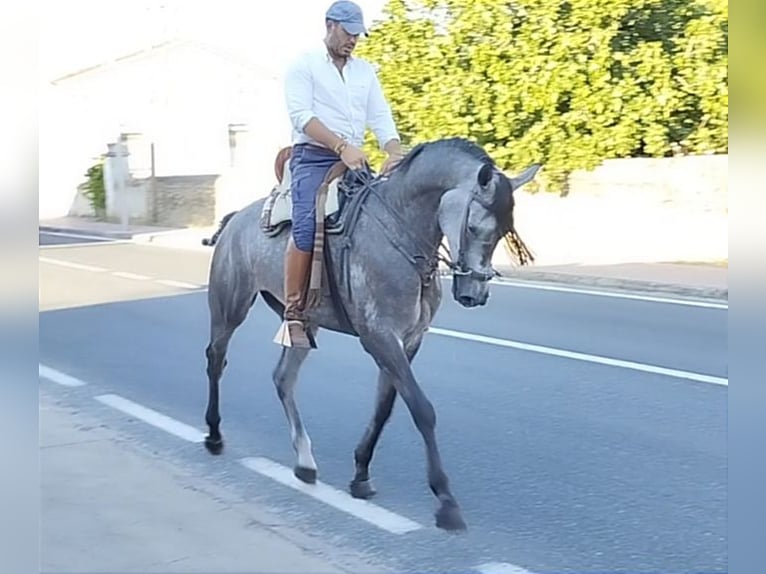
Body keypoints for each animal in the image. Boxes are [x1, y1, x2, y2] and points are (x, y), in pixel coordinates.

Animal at [201, 137, 544, 532]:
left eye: (504, 232)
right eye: (474, 227)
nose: (475, 294)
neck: (400, 233)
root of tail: (235, 219)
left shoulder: (406, 342)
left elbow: (385, 406)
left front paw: (361, 473)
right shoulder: (379, 336)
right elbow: (421, 409)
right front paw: (445, 499)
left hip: (303, 324)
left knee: (283, 378)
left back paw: (304, 460)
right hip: (229, 307)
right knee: (216, 359)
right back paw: (214, 434)